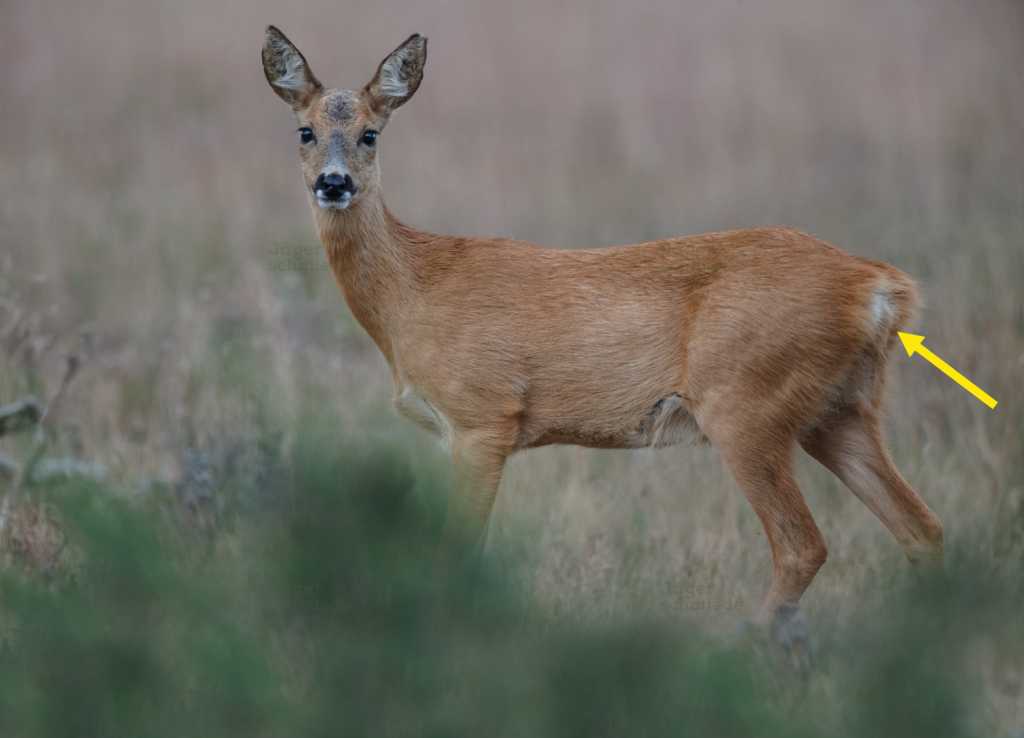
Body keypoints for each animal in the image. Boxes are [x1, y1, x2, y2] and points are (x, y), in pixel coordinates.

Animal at [262, 27, 942, 650]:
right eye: (305, 131)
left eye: (371, 134)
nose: (333, 183)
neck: (413, 292)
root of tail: (877, 285)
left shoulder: (484, 416)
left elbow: (462, 549)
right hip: (840, 409)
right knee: (922, 530)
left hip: (745, 403)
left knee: (804, 545)